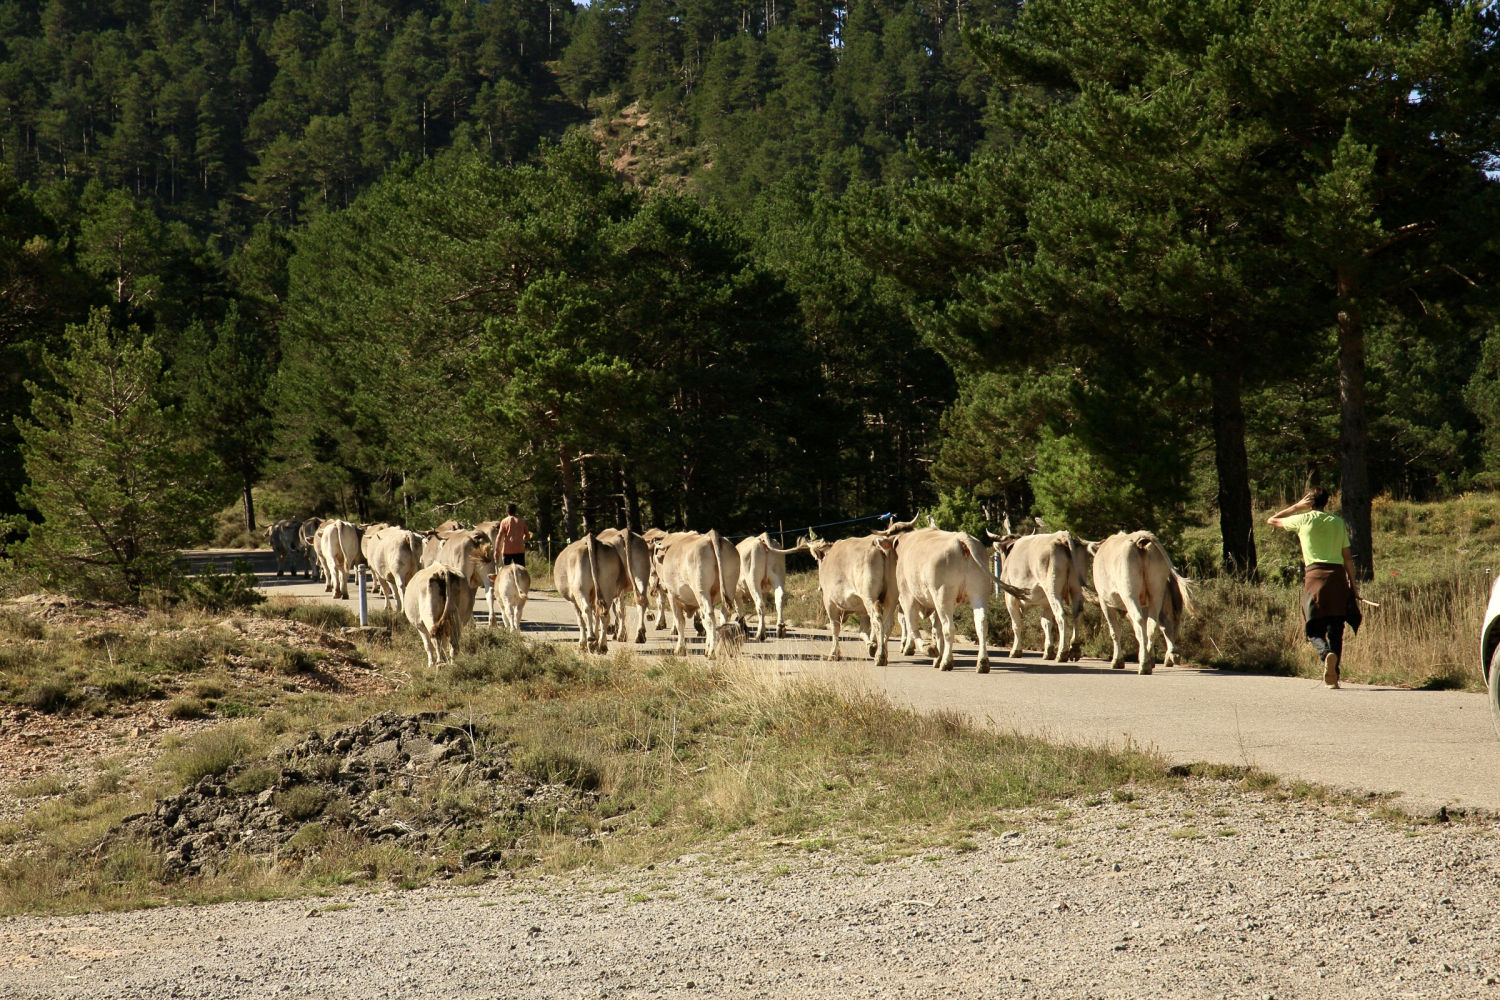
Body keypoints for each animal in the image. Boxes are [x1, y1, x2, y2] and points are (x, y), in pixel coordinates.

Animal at [805, 534, 897, 664]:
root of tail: (877, 542)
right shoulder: (862, 611)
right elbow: (862, 631)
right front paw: (871, 645)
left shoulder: (829, 601)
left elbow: (835, 627)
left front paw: (834, 653)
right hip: (892, 597)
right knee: (888, 622)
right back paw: (881, 652)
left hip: (869, 596)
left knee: (877, 619)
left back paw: (880, 656)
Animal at [885, 522, 1029, 672]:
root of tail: (961, 538)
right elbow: (936, 630)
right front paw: (937, 657)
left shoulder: (907, 597)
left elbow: (913, 625)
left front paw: (928, 650)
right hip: (979, 593)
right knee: (981, 623)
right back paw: (982, 662)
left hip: (943, 596)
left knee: (948, 627)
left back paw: (947, 662)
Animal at [988, 530, 1092, 662]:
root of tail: (1062, 536)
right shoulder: (1046, 603)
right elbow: (1046, 623)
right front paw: (1048, 651)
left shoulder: (1010, 597)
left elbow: (1016, 624)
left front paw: (1015, 650)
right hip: (1076, 589)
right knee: (1077, 614)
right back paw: (1074, 649)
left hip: (1052, 589)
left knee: (1061, 615)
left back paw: (1062, 652)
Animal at [1088, 531, 1194, 675]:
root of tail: (1140, 537)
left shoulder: (1104, 601)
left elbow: (1115, 631)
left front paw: (1117, 661)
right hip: (1156, 592)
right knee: (1154, 624)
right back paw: (1152, 658)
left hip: (1130, 593)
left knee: (1140, 621)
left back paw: (1145, 664)